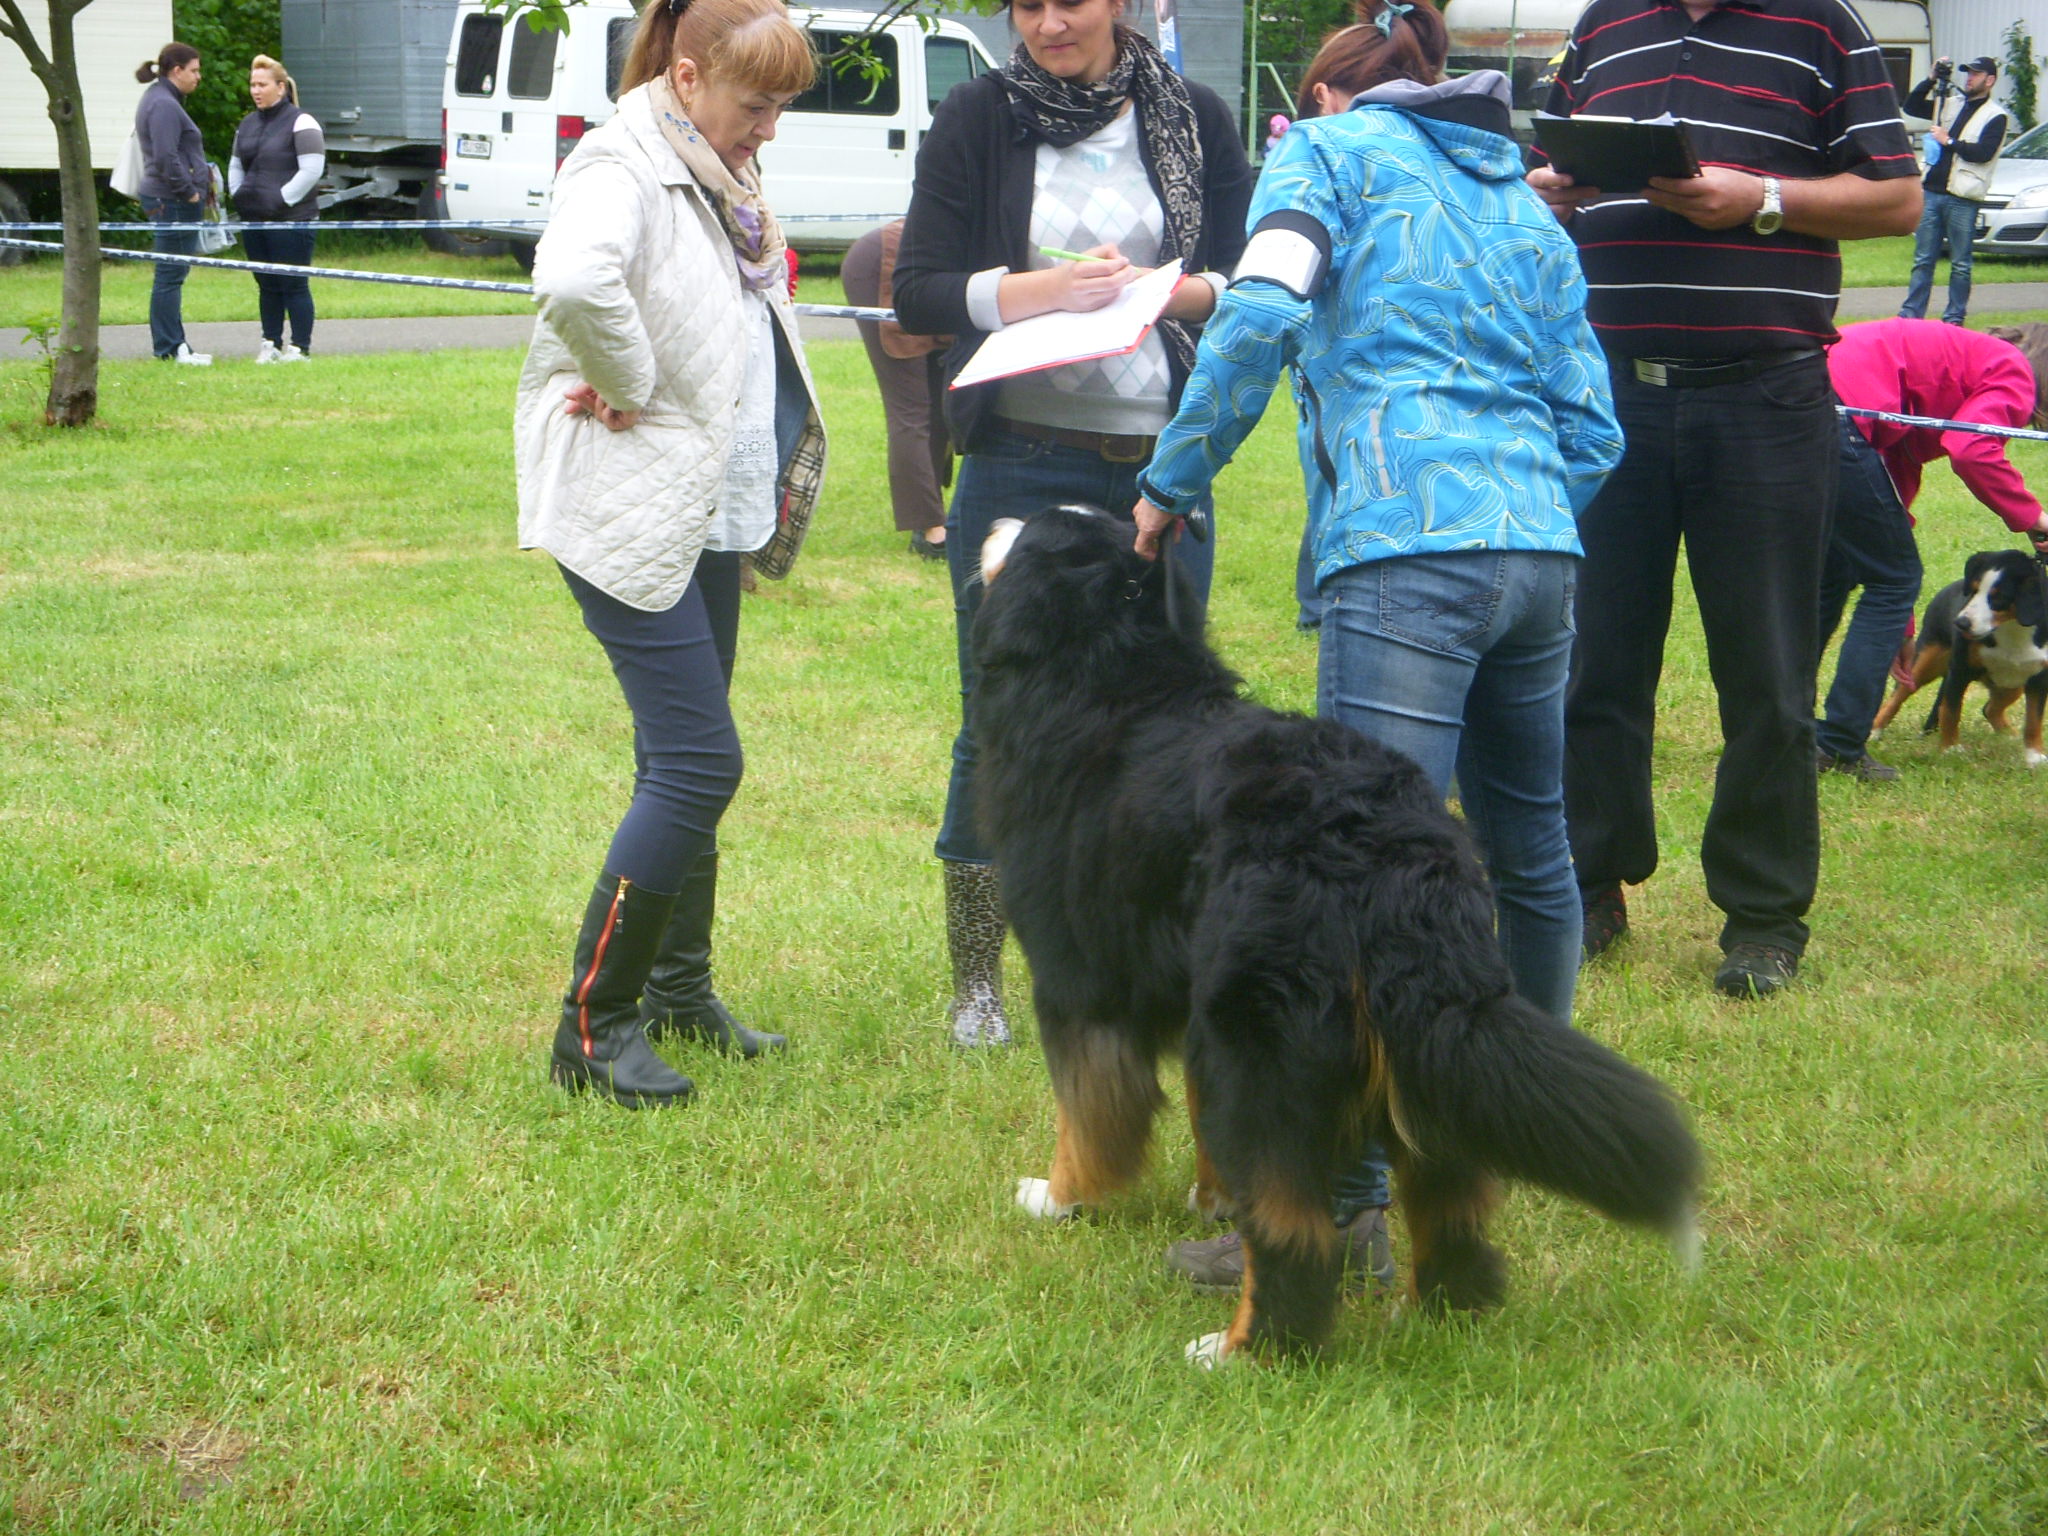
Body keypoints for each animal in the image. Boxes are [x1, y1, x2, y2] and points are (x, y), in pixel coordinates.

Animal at [1875, 548, 2048, 770]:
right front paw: (1950, 748)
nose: (1961, 623)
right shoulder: (1959, 671)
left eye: (1999, 597)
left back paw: (2008, 734)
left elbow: (2034, 720)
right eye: (1973, 591)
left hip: (2011, 684)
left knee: (1989, 709)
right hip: (1922, 662)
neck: (2012, 630)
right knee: (1895, 699)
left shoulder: (2038, 679)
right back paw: (1873, 732)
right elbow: (1950, 711)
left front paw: (2034, 756)